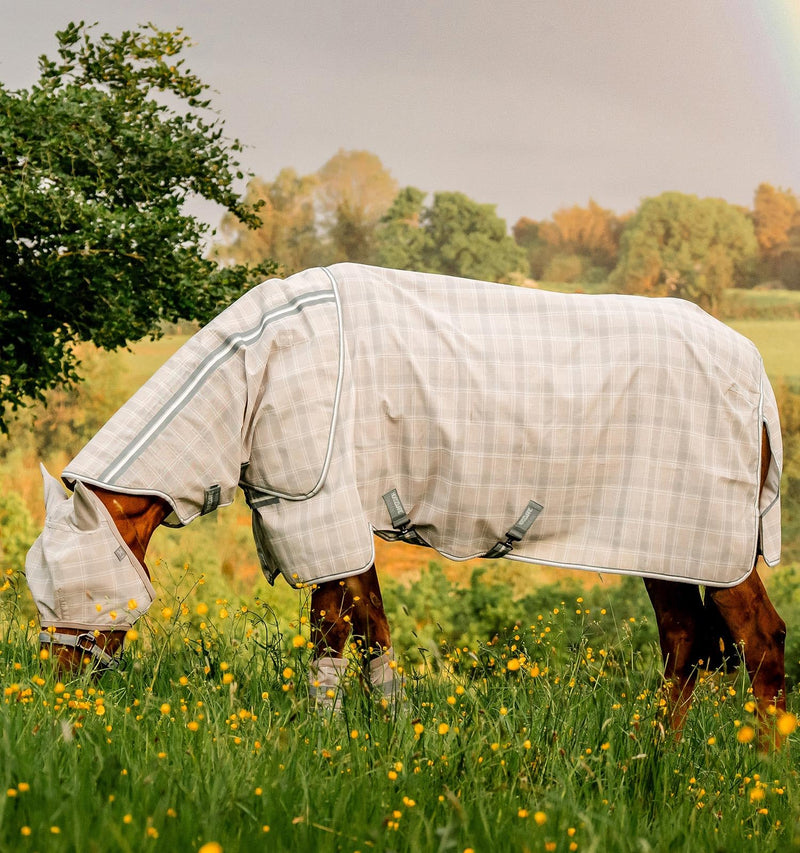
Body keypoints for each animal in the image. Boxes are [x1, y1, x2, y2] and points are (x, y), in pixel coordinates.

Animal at [25, 263, 787, 738]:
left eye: (69, 586)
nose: (57, 693)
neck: (257, 373)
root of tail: (756, 376)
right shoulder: (345, 518)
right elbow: (372, 631)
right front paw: (390, 735)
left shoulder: (319, 509)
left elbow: (330, 632)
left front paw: (323, 737)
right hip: (673, 545)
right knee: (686, 643)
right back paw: (654, 757)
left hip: (712, 544)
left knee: (759, 639)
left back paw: (758, 773)